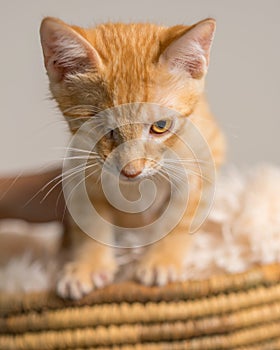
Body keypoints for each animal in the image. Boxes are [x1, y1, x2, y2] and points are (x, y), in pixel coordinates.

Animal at [39, 17, 224, 300]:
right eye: (99, 125)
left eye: (160, 126)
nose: (131, 171)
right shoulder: (80, 168)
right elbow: (90, 220)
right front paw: (88, 265)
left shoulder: (206, 157)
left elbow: (182, 216)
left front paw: (161, 260)